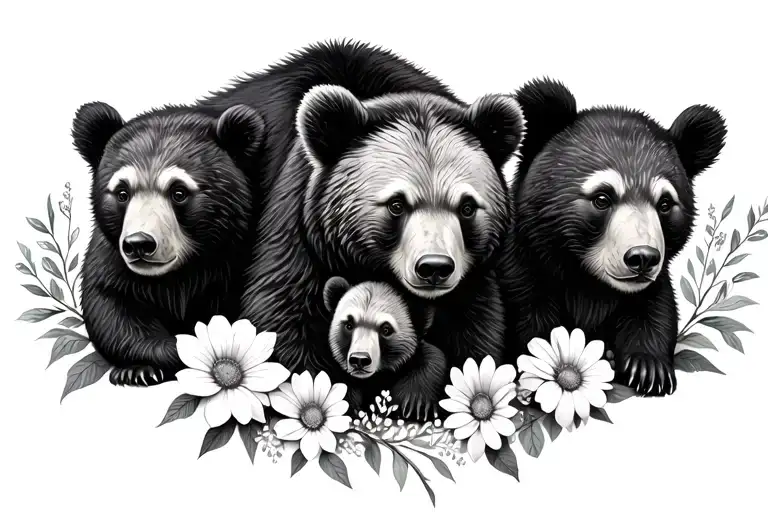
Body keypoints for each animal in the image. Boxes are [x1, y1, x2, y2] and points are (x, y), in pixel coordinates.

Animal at [72, 39, 495, 387]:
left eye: (467, 208)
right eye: (121, 192)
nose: (434, 268)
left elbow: (474, 329)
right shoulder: (295, 218)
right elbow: (113, 294)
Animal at [322, 276, 447, 421]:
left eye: (386, 329)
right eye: (349, 325)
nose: (359, 360)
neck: (374, 379)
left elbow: (431, 360)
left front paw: (413, 404)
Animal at [498, 77, 727, 397]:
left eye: (665, 203)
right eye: (602, 198)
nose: (642, 258)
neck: (589, 283)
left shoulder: (650, 289)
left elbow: (655, 312)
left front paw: (647, 369)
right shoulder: (524, 268)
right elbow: (528, 316)